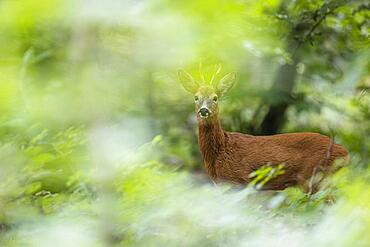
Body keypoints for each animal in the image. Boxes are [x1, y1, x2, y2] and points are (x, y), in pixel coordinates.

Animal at [179, 67, 350, 193]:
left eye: (215, 97)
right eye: (196, 97)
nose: (204, 110)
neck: (220, 150)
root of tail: (345, 153)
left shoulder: (240, 180)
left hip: (316, 178)